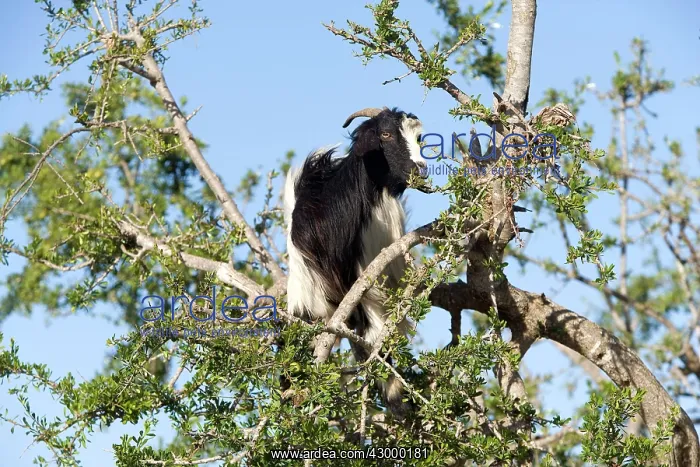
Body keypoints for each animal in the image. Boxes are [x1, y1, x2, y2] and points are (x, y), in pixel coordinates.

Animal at [283, 106, 425, 415]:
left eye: (418, 137)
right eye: (385, 134)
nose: (421, 168)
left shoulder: (367, 289)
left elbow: (373, 341)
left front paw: (398, 401)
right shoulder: (307, 300)